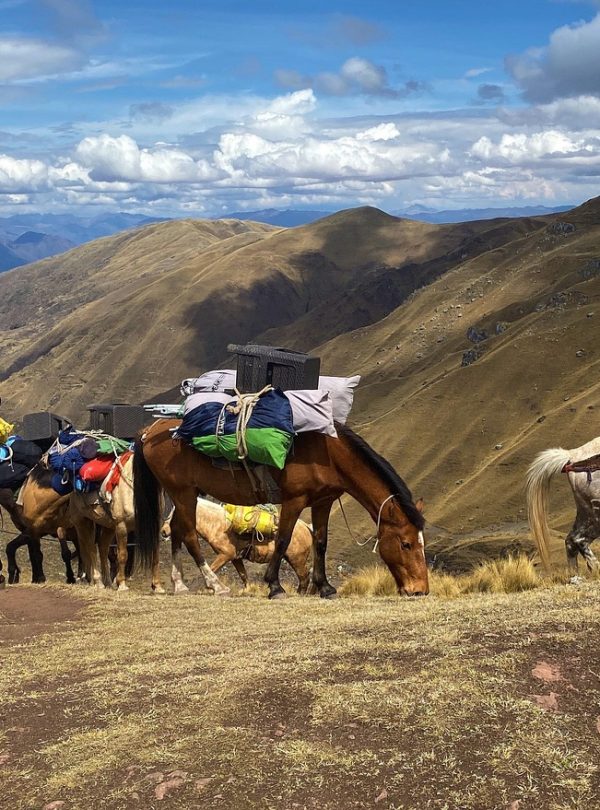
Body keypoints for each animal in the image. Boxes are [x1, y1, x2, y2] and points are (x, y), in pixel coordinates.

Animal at [160, 498, 313, 593]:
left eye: (174, 514)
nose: (163, 531)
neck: (218, 524)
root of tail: (306, 526)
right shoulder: (235, 558)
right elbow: (243, 576)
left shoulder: (225, 555)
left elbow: (213, 568)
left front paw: (212, 587)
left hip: (297, 560)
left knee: (304, 577)